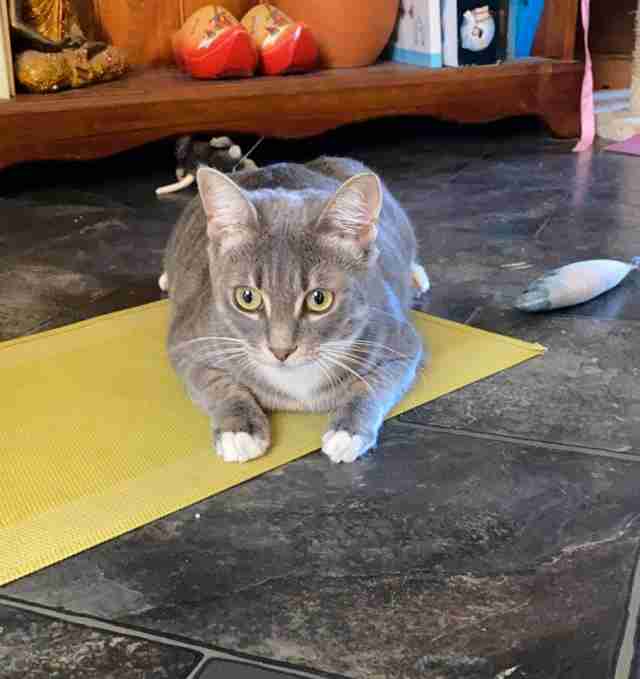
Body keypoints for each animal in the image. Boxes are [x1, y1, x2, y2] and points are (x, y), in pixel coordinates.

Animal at [164, 155, 430, 462]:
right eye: (247, 297)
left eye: (319, 299)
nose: (281, 351)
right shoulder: (187, 343)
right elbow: (214, 384)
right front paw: (238, 430)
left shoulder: (401, 343)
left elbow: (372, 386)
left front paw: (348, 431)